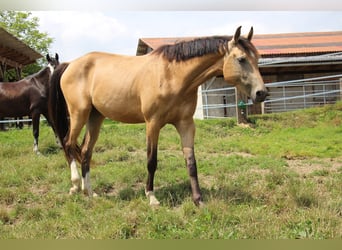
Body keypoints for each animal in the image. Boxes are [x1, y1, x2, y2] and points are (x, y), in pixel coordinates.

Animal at [48, 26, 268, 205]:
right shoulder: (153, 124)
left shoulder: (186, 124)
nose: (261, 93)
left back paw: (90, 192)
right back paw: (75, 186)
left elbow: (191, 162)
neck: (172, 76)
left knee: (85, 152)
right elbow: (151, 160)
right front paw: (151, 197)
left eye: (257, 59)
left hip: (96, 117)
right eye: (241, 59)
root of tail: (69, 65)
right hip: (79, 113)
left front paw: (198, 200)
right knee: (68, 143)